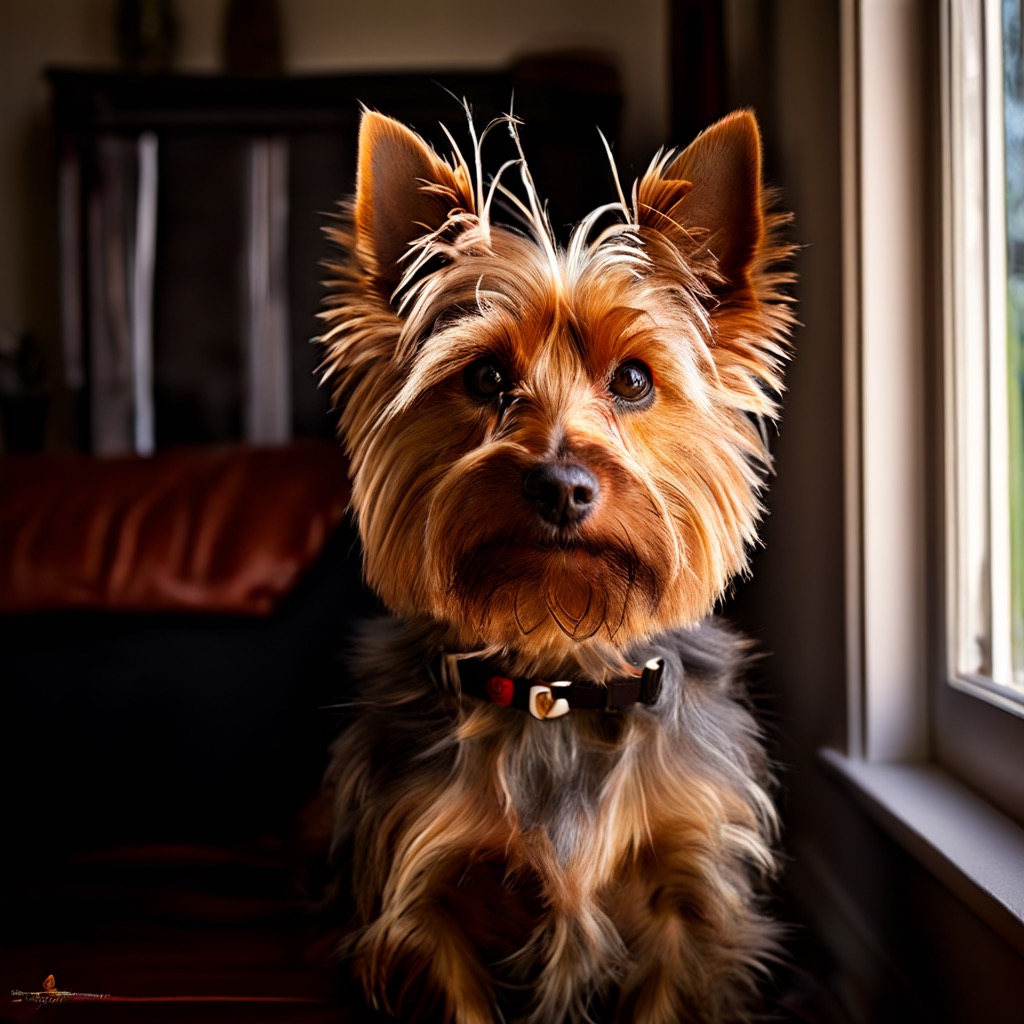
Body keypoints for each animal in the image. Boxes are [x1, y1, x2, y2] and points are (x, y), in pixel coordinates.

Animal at [315, 105, 794, 1024]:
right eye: (485, 376)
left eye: (635, 379)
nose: (562, 485)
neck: (558, 676)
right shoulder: (424, 893)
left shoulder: (690, 896)